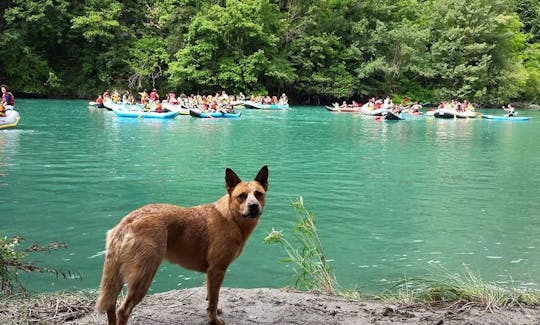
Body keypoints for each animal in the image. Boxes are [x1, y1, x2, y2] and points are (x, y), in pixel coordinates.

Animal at [96, 166, 268, 322]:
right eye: (242, 196)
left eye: (258, 194)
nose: (253, 206)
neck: (231, 218)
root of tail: (127, 222)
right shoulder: (217, 270)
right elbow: (214, 299)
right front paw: (214, 320)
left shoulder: (210, 273)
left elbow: (210, 296)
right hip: (143, 276)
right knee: (122, 311)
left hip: (117, 276)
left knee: (111, 305)